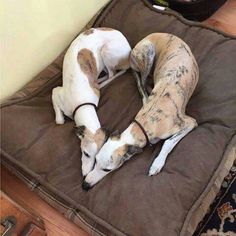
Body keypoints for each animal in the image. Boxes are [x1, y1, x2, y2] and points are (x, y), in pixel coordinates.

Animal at [51, 27, 131, 177]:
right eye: (86, 153)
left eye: (96, 158)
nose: (85, 176)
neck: (83, 105)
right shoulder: (56, 92)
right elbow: (59, 120)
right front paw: (60, 117)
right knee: (110, 74)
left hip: (106, 52)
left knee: (112, 74)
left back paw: (100, 81)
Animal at [82, 32, 198, 190]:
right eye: (96, 160)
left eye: (107, 169)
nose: (84, 185)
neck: (146, 122)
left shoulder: (189, 122)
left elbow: (168, 143)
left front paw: (156, 164)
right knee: (141, 82)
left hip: (148, 53)